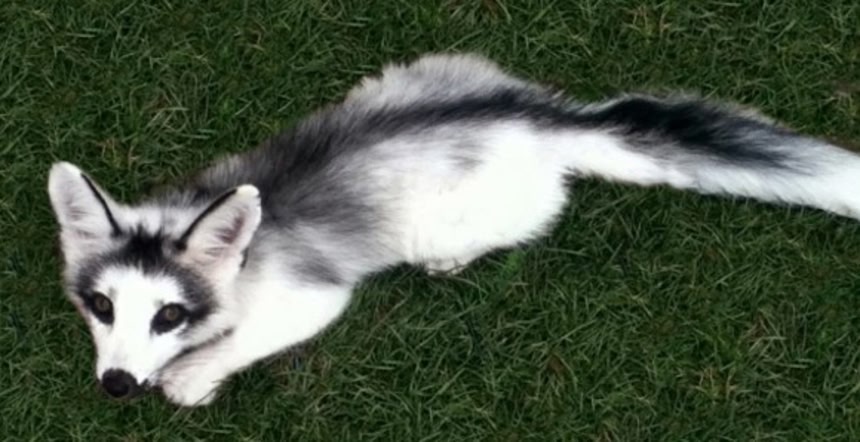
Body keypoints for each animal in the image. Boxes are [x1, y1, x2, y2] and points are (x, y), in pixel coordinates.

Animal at [48, 53, 860, 407]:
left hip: (446, 224)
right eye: (103, 306)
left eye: (171, 315)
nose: (116, 385)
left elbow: (244, 340)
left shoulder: (313, 295)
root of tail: (547, 119)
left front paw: (192, 375)